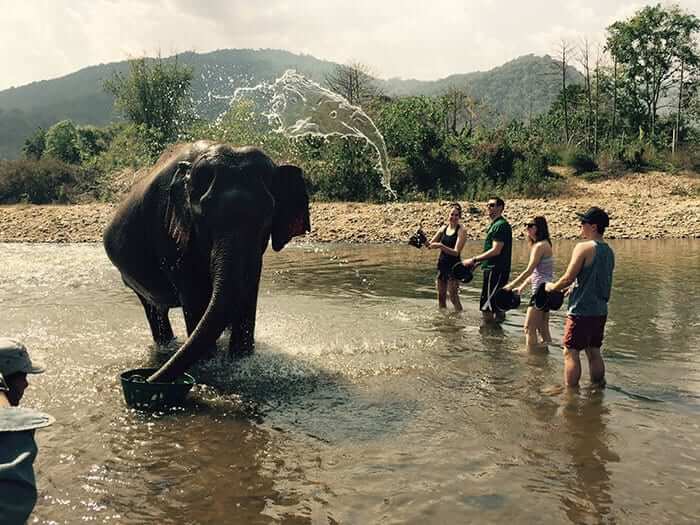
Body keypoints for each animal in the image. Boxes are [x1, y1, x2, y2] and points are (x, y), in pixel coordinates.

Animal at [102, 141, 310, 382]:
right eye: (203, 216)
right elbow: (194, 294)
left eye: (268, 215)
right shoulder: (168, 232)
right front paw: (208, 363)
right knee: (154, 311)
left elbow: (247, 291)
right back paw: (167, 347)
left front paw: (241, 360)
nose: (145, 379)